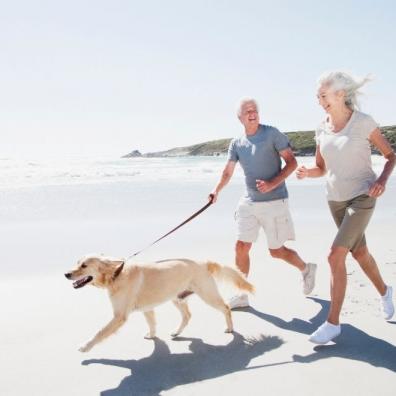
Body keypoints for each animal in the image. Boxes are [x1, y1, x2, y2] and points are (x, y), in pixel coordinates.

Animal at [65, 255, 254, 352]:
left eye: (84, 265)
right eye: (77, 263)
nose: (66, 274)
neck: (116, 275)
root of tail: (203, 262)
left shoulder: (119, 316)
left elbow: (99, 332)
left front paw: (85, 346)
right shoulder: (146, 309)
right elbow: (152, 323)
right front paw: (152, 335)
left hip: (208, 295)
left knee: (226, 308)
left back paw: (230, 328)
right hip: (177, 298)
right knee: (188, 315)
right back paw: (177, 332)